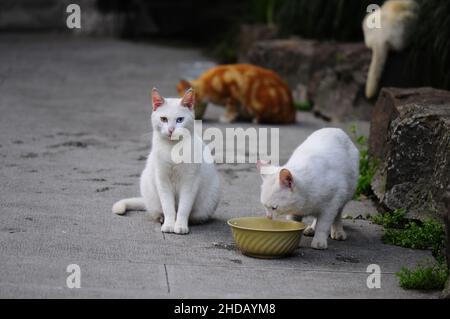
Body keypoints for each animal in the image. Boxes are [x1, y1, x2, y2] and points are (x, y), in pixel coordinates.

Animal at [110, 87, 220, 235]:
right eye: (163, 119)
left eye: (180, 120)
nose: (171, 129)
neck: (172, 149)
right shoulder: (162, 180)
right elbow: (168, 207)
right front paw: (169, 225)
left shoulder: (190, 182)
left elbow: (183, 208)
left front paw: (180, 226)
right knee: (158, 211)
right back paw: (161, 219)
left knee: (195, 215)